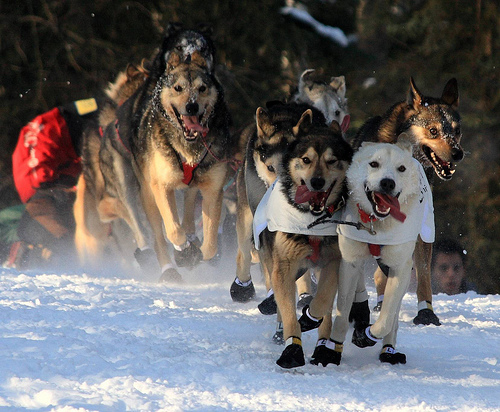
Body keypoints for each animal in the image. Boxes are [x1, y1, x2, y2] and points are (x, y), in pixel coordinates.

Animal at [254, 116, 356, 366]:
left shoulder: (333, 262)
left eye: (332, 161)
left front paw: (310, 318)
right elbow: (289, 313)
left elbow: (323, 301)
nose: (317, 181)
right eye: (306, 159)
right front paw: (292, 348)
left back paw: (321, 345)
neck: (312, 222)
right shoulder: (284, 267)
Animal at [312, 140, 434, 366]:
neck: (375, 225)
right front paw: (333, 349)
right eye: (374, 164)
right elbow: (342, 313)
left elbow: (387, 318)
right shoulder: (349, 262)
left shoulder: (400, 268)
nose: (387, 183)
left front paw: (367, 335)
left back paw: (388, 350)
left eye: (401, 168)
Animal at [352, 77, 464, 326]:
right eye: (433, 130)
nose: (458, 154)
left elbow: (423, 271)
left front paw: (426, 313)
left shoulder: (421, 224)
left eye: (457, 131)